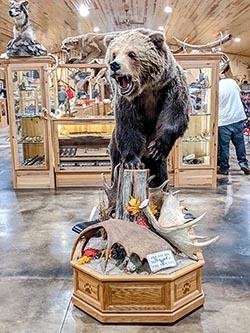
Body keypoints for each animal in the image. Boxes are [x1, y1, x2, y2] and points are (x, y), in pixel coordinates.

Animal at [104, 29, 190, 185]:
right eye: (114, 54)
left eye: (131, 54)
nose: (115, 65)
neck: (147, 88)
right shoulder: (127, 101)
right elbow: (129, 125)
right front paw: (132, 162)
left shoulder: (171, 87)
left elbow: (174, 114)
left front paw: (157, 147)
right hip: (114, 146)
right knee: (115, 166)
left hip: (160, 163)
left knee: (160, 175)